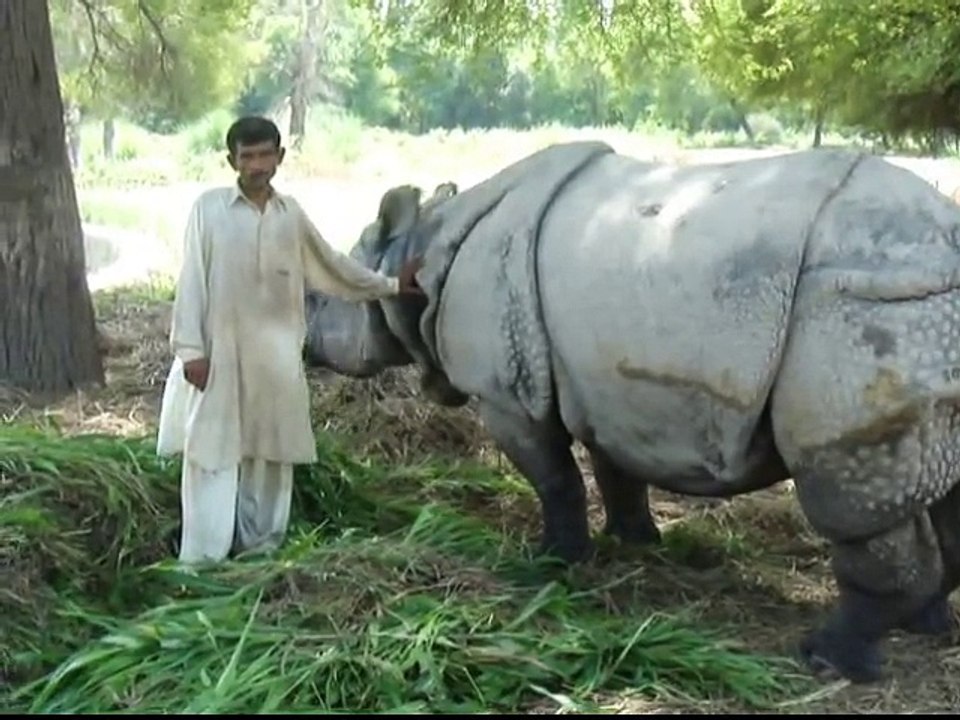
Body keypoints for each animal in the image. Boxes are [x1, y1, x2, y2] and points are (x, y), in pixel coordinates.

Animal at [303, 141, 960, 685]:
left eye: (314, 299)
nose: (302, 349)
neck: (417, 256)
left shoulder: (506, 393)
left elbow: (554, 477)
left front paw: (553, 564)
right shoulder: (601, 385)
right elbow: (614, 466)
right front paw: (636, 542)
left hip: (865, 310)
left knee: (852, 496)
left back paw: (829, 658)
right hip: (910, 307)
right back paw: (928, 627)